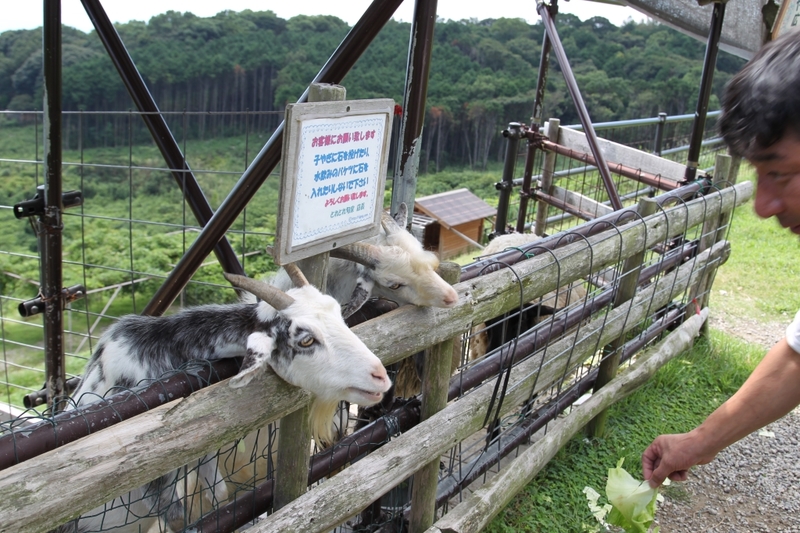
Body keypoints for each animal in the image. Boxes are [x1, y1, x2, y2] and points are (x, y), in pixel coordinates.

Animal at [52, 264, 391, 533]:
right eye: (306, 339)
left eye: (337, 312)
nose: (380, 376)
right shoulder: (155, 485)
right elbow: (181, 519)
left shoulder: (202, 458)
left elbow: (220, 496)